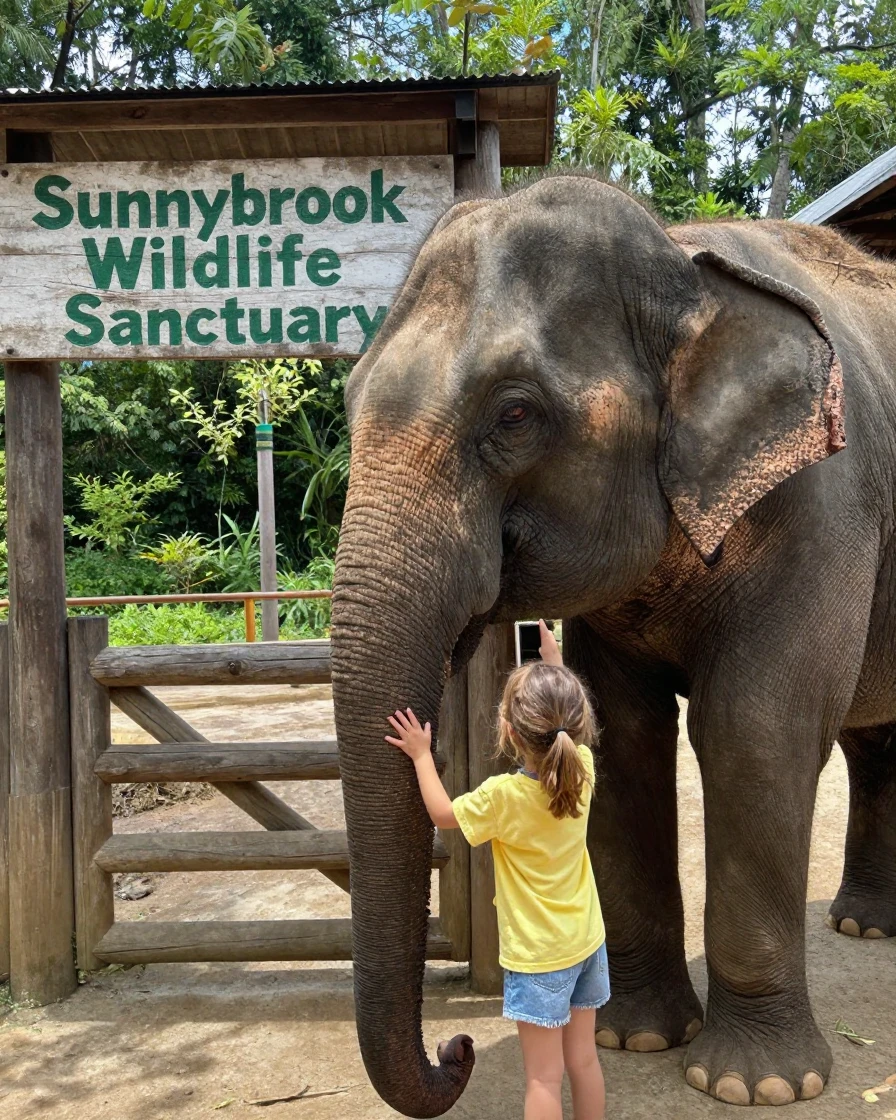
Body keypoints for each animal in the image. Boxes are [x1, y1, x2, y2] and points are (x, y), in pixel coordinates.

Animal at [330, 172, 896, 1117]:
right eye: (349, 402)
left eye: (516, 414)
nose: (455, 1048)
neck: (683, 261)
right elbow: (619, 736)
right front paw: (633, 1038)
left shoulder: (825, 500)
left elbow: (755, 731)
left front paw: (756, 1084)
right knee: (874, 738)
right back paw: (865, 923)